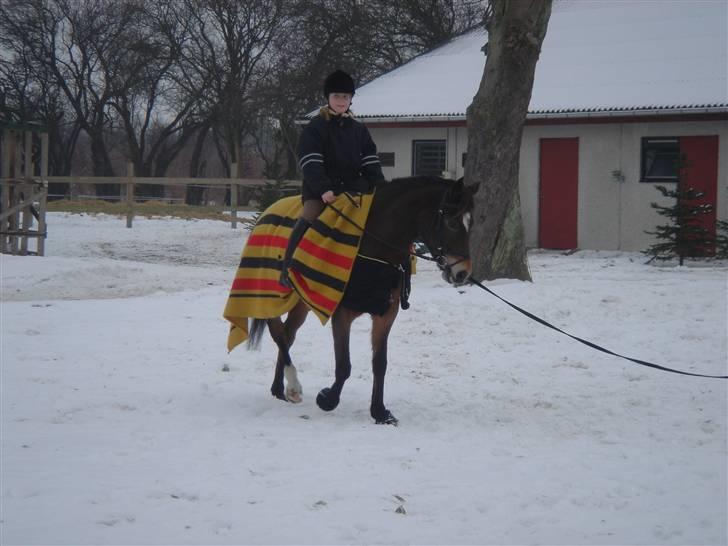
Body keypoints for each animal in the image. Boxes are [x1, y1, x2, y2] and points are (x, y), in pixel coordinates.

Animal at [246, 176, 472, 422]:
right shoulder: (342, 313)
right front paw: (327, 399)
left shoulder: (386, 314)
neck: (375, 251)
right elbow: (344, 365)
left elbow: (380, 363)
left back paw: (279, 388)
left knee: (287, 334)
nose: (463, 273)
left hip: (301, 303)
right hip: (272, 296)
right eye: (452, 222)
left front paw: (379, 412)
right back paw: (292, 385)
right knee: (278, 332)